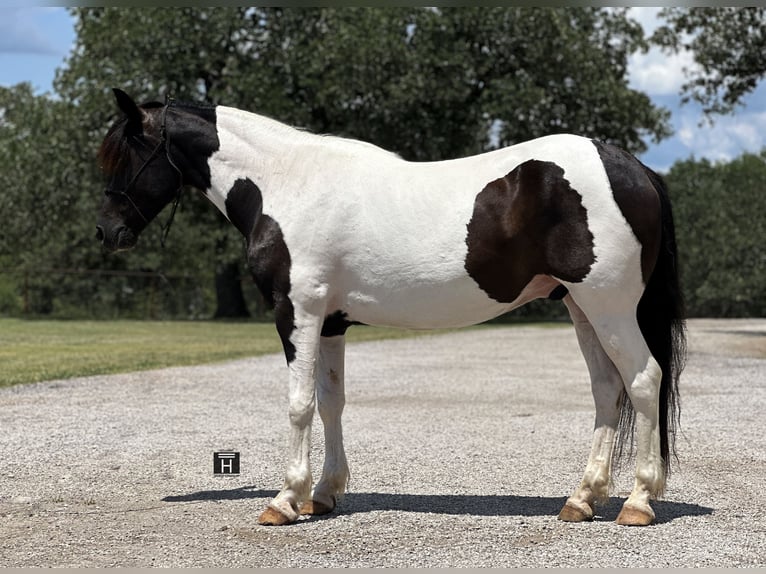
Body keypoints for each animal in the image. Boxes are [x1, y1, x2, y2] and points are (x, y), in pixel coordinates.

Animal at [96, 89, 688, 528]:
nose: (107, 233)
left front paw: (285, 501)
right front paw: (324, 494)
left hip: (609, 307)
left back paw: (638, 502)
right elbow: (331, 403)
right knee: (607, 390)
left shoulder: (298, 312)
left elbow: (299, 405)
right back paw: (582, 499)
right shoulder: (331, 323)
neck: (285, 182)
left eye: (127, 154)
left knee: (643, 380)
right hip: (582, 308)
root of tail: (631, 167)